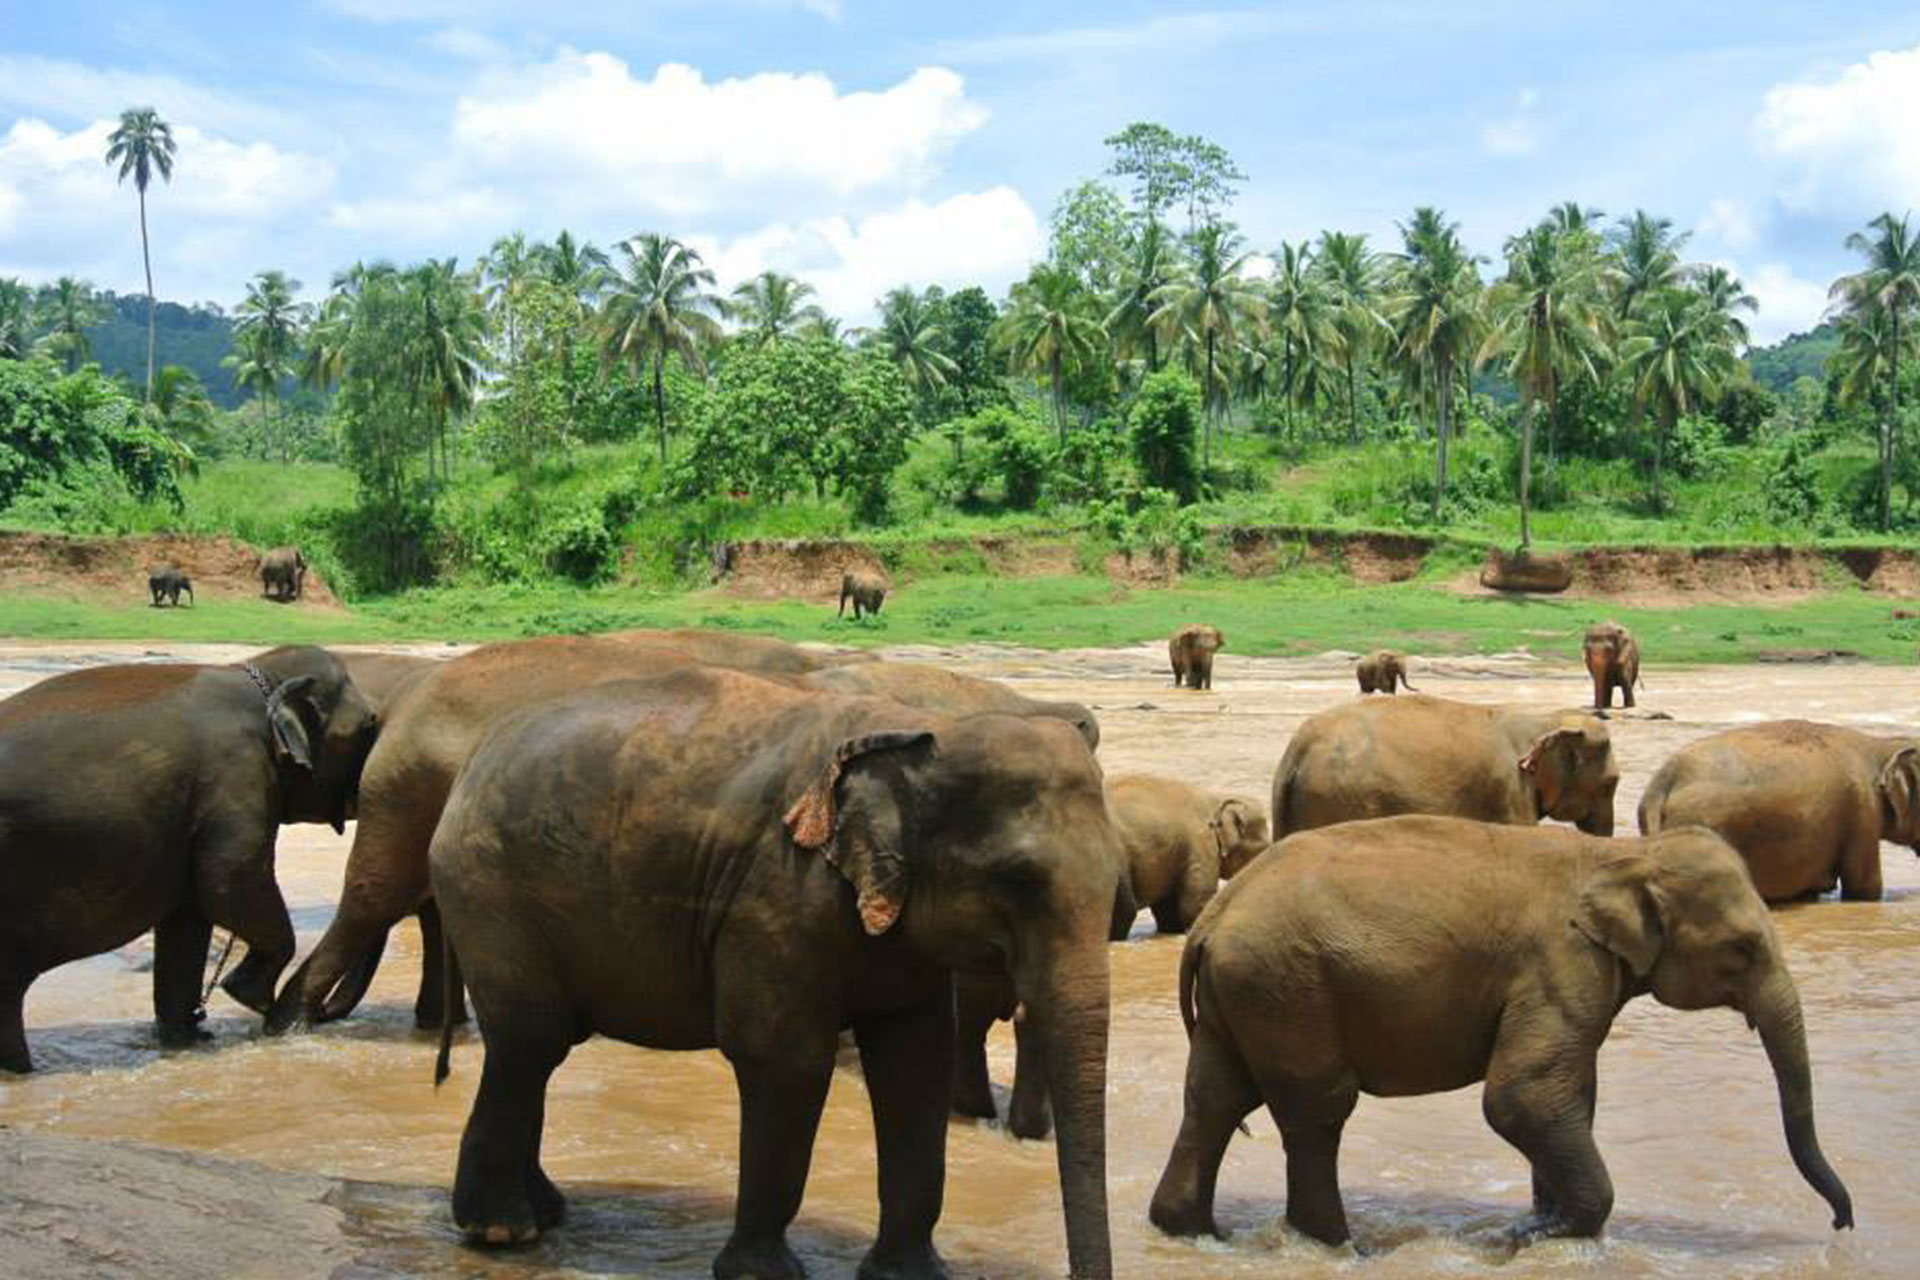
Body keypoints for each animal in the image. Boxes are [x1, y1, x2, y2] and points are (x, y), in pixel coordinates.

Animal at [0, 646, 378, 1072]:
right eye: (369, 726)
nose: (322, 1016)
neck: (261, 672)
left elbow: (189, 920)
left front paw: (189, 1038)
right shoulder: (236, 776)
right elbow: (230, 884)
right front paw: (248, 996)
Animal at [429, 665, 1120, 1279]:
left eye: (1116, 880)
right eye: (1018, 880)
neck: (922, 732)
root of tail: (473, 762)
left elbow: (914, 1063)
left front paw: (912, 1276)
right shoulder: (778, 893)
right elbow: (786, 1060)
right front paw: (760, 1276)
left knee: (540, 1048)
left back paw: (546, 1214)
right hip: (491, 888)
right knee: (531, 1040)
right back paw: (503, 1232)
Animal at [1149, 815, 1854, 1248]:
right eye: (1743, 949)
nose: (1843, 1227)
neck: (1624, 855)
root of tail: (1215, 914)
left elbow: (1568, 1096)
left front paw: (1544, 1223)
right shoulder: (1560, 963)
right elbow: (1523, 1096)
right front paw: (1540, 1235)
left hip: (1247, 993)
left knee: (1214, 1099)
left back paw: (1193, 1233)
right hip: (1287, 985)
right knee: (1317, 1110)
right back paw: (1340, 1247)